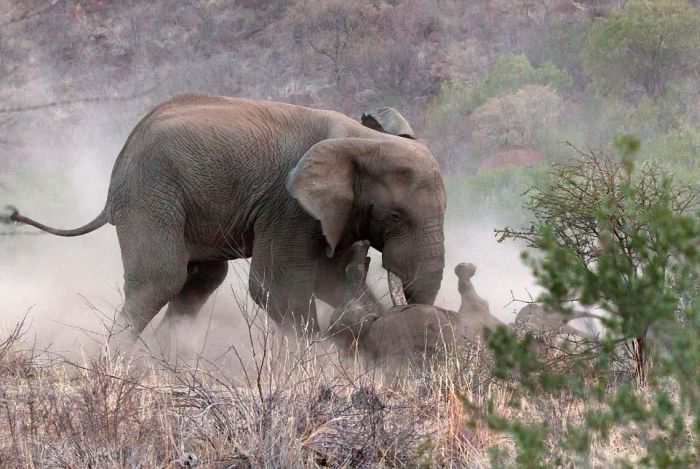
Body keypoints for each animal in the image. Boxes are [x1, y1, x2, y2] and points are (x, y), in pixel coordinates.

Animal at [8, 95, 446, 342]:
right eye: (394, 215)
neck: (364, 140)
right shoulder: (287, 205)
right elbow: (275, 287)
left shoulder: (332, 211)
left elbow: (330, 279)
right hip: (151, 194)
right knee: (160, 280)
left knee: (199, 280)